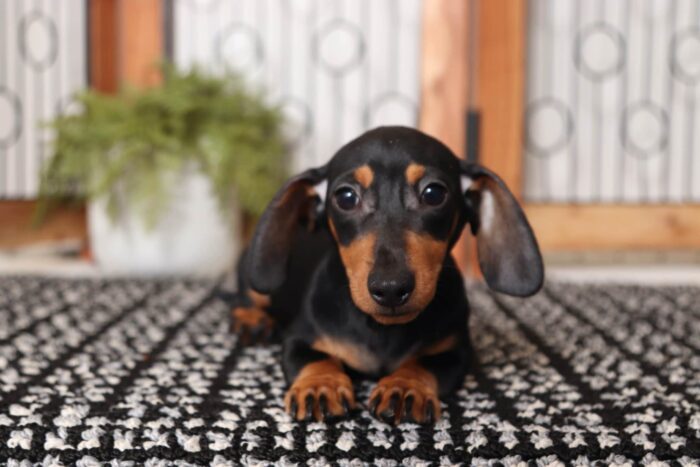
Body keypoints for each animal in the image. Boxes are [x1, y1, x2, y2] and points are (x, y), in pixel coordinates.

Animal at [228, 126, 540, 426]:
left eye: (434, 193)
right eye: (346, 197)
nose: (390, 288)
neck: (382, 330)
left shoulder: (456, 351)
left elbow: (423, 364)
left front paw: (404, 387)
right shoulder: (299, 338)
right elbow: (314, 359)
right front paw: (320, 386)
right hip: (253, 278)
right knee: (244, 297)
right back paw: (253, 321)